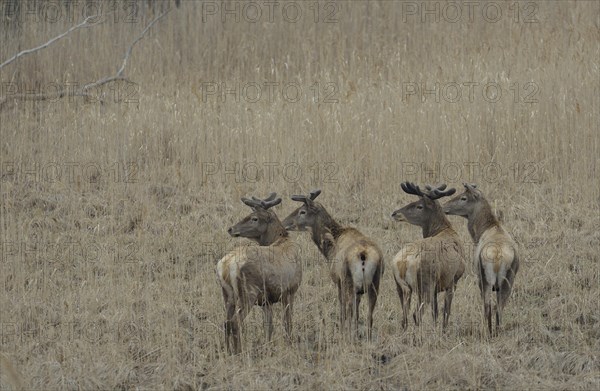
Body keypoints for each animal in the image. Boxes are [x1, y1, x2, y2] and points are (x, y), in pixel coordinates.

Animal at [216, 194, 302, 354]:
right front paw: (289, 344)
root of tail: (226, 265)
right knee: (235, 322)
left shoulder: (266, 300)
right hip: (247, 293)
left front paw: (268, 347)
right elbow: (287, 323)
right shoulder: (290, 291)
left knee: (226, 322)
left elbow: (269, 326)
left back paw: (228, 351)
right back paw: (239, 351)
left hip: (228, 294)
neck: (282, 240)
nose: (231, 229)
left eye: (254, 218)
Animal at [282, 190, 384, 340]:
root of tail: (364, 255)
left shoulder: (338, 280)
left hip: (349, 281)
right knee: (369, 314)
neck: (330, 248)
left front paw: (342, 331)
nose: (284, 223)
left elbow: (342, 308)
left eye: (302, 211)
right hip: (375, 283)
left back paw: (348, 336)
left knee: (349, 308)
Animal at [392, 182, 466, 330]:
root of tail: (404, 261)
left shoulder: (437, 288)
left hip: (402, 288)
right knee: (416, 314)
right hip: (425, 285)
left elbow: (435, 312)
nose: (395, 213)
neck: (445, 230)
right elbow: (446, 311)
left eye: (419, 205)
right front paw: (443, 331)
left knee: (404, 317)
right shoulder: (453, 280)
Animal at [442, 184, 516, 336]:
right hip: (507, 282)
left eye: (464, 197)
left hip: (484, 281)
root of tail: (498, 257)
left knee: (488, 306)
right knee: (499, 307)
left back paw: (488, 332)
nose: (444, 207)